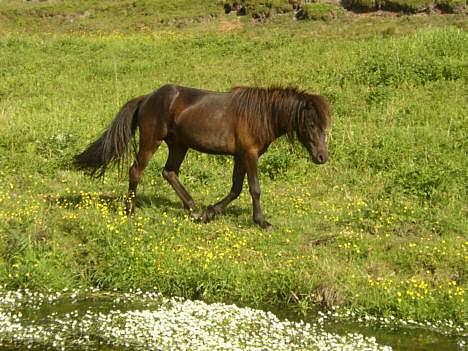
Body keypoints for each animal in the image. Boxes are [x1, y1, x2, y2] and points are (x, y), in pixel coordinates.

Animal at [73, 85, 330, 228]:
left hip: (179, 145)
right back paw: (130, 210)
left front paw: (209, 213)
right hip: (152, 141)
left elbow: (236, 189)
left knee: (169, 172)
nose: (322, 157)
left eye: (324, 125)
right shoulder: (249, 154)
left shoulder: (240, 156)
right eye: (310, 124)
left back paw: (194, 210)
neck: (260, 114)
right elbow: (254, 188)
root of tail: (147, 98)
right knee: (136, 170)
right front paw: (262, 222)